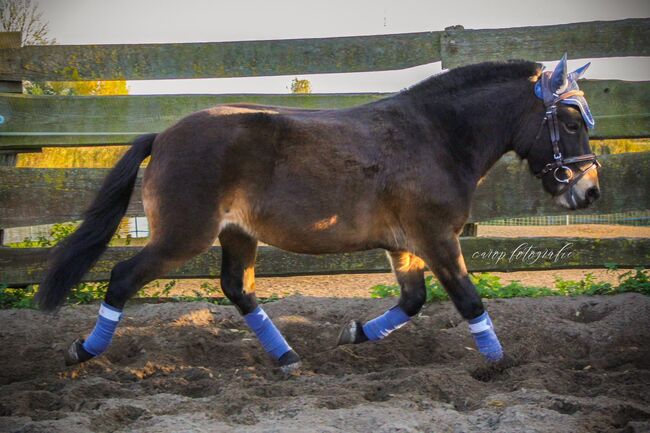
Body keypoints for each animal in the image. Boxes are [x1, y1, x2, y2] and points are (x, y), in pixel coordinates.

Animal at [38, 54, 600, 372]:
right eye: (572, 122)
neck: (435, 137)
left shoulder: (405, 246)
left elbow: (413, 302)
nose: (590, 191)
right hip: (182, 237)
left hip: (237, 235)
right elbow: (468, 300)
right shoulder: (438, 238)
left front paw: (354, 333)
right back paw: (81, 351)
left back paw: (288, 358)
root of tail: (163, 136)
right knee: (121, 277)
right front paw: (498, 365)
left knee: (239, 290)